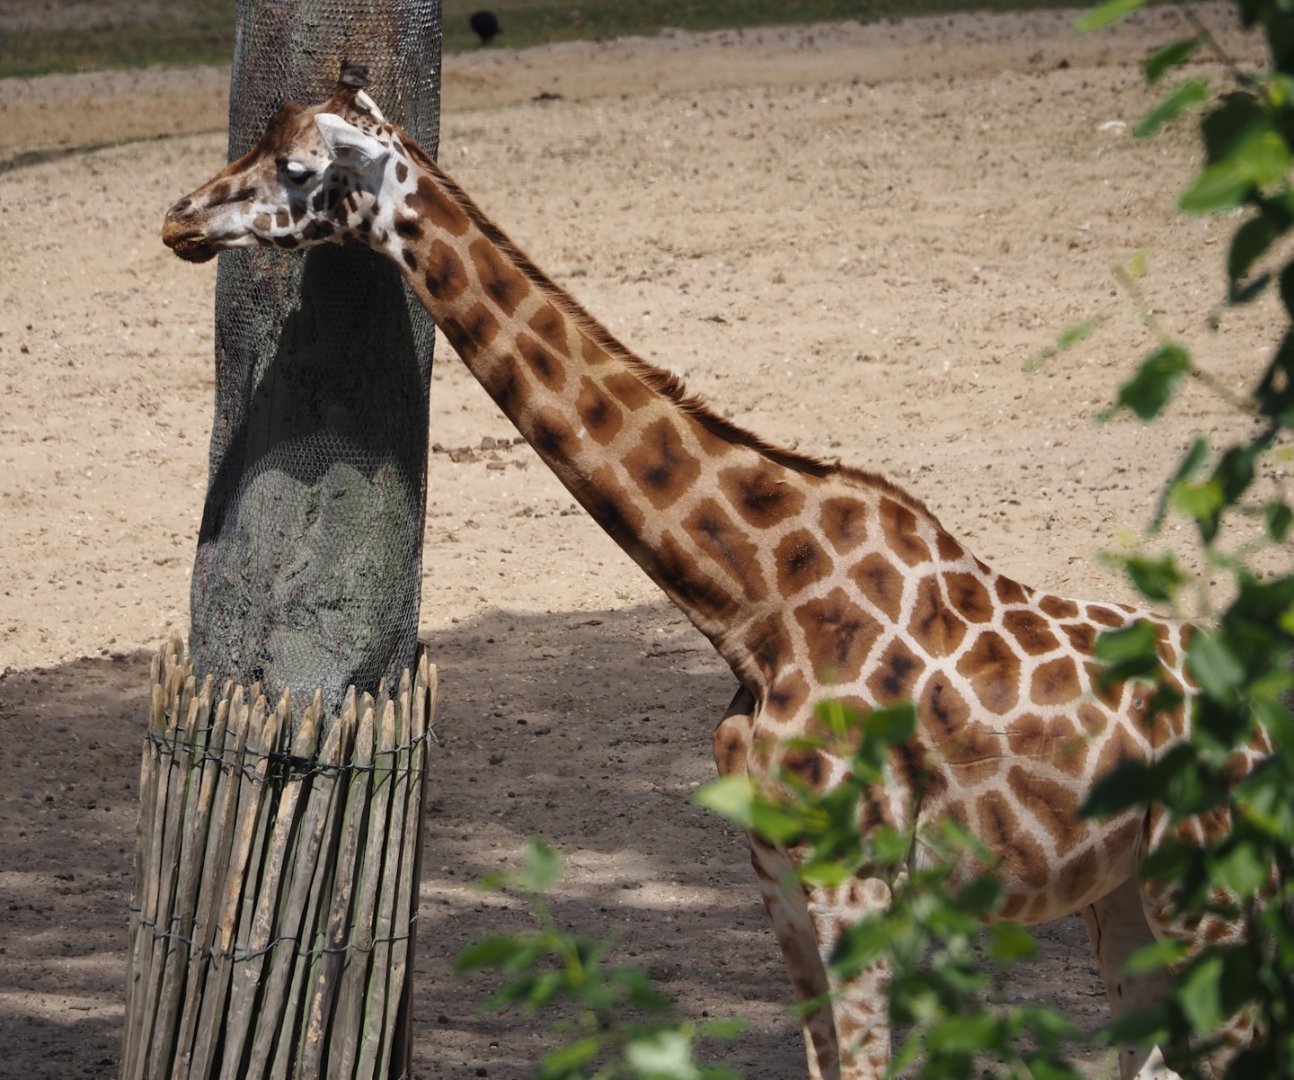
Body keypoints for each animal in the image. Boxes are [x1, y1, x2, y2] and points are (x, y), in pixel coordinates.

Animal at [162, 69, 1265, 1078]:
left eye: (297, 168)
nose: (179, 217)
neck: (753, 607)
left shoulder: (860, 882)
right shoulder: (776, 874)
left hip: (1220, 891)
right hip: (1128, 895)